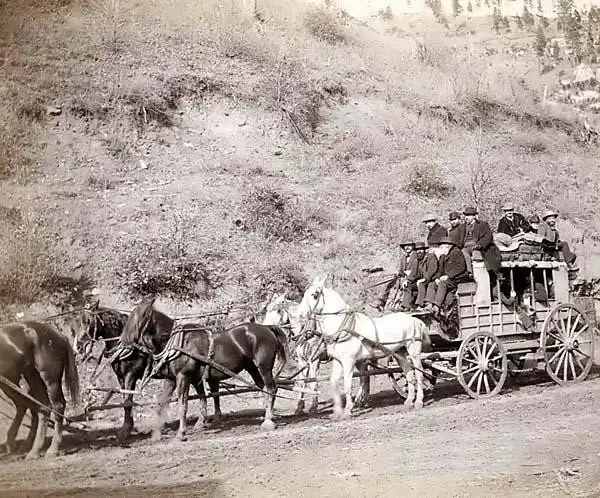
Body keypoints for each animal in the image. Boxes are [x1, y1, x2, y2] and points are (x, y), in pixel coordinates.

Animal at [0, 321, 80, 459]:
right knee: (40, 407)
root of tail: (60, 335)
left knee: (57, 406)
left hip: (49, 379)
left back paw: (52, 449)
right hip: (28, 377)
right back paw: (33, 450)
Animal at [119, 296, 289, 441]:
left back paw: (268, 421)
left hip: (264, 367)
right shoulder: (172, 379)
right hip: (252, 368)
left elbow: (183, 405)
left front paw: (181, 434)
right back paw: (267, 416)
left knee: (271, 388)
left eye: (139, 316)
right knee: (263, 388)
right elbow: (162, 404)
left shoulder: (183, 377)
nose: (123, 340)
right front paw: (156, 434)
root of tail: (267, 328)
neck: (178, 343)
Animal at [296, 275, 431, 420]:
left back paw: (418, 401)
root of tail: (415, 320)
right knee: (409, 374)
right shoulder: (337, 361)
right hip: (401, 354)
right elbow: (333, 382)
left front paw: (347, 410)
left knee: (419, 374)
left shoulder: (348, 361)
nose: (300, 314)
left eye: (314, 295)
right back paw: (409, 401)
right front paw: (337, 411)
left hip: (414, 352)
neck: (343, 327)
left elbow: (347, 385)